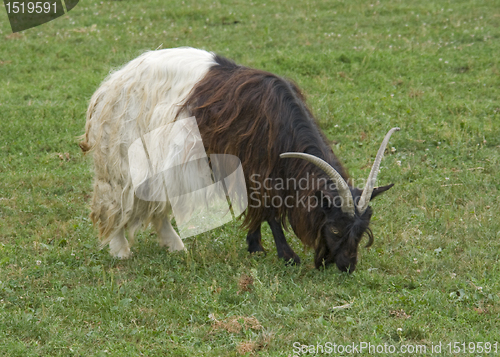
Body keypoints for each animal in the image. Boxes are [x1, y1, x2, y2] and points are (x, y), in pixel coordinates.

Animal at [80, 46, 398, 272]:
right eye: (334, 227)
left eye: (362, 230)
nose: (346, 266)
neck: (277, 120)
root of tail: (112, 83)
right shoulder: (252, 166)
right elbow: (268, 211)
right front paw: (286, 255)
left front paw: (255, 246)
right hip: (123, 154)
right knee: (116, 199)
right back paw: (120, 249)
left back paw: (174, 245)